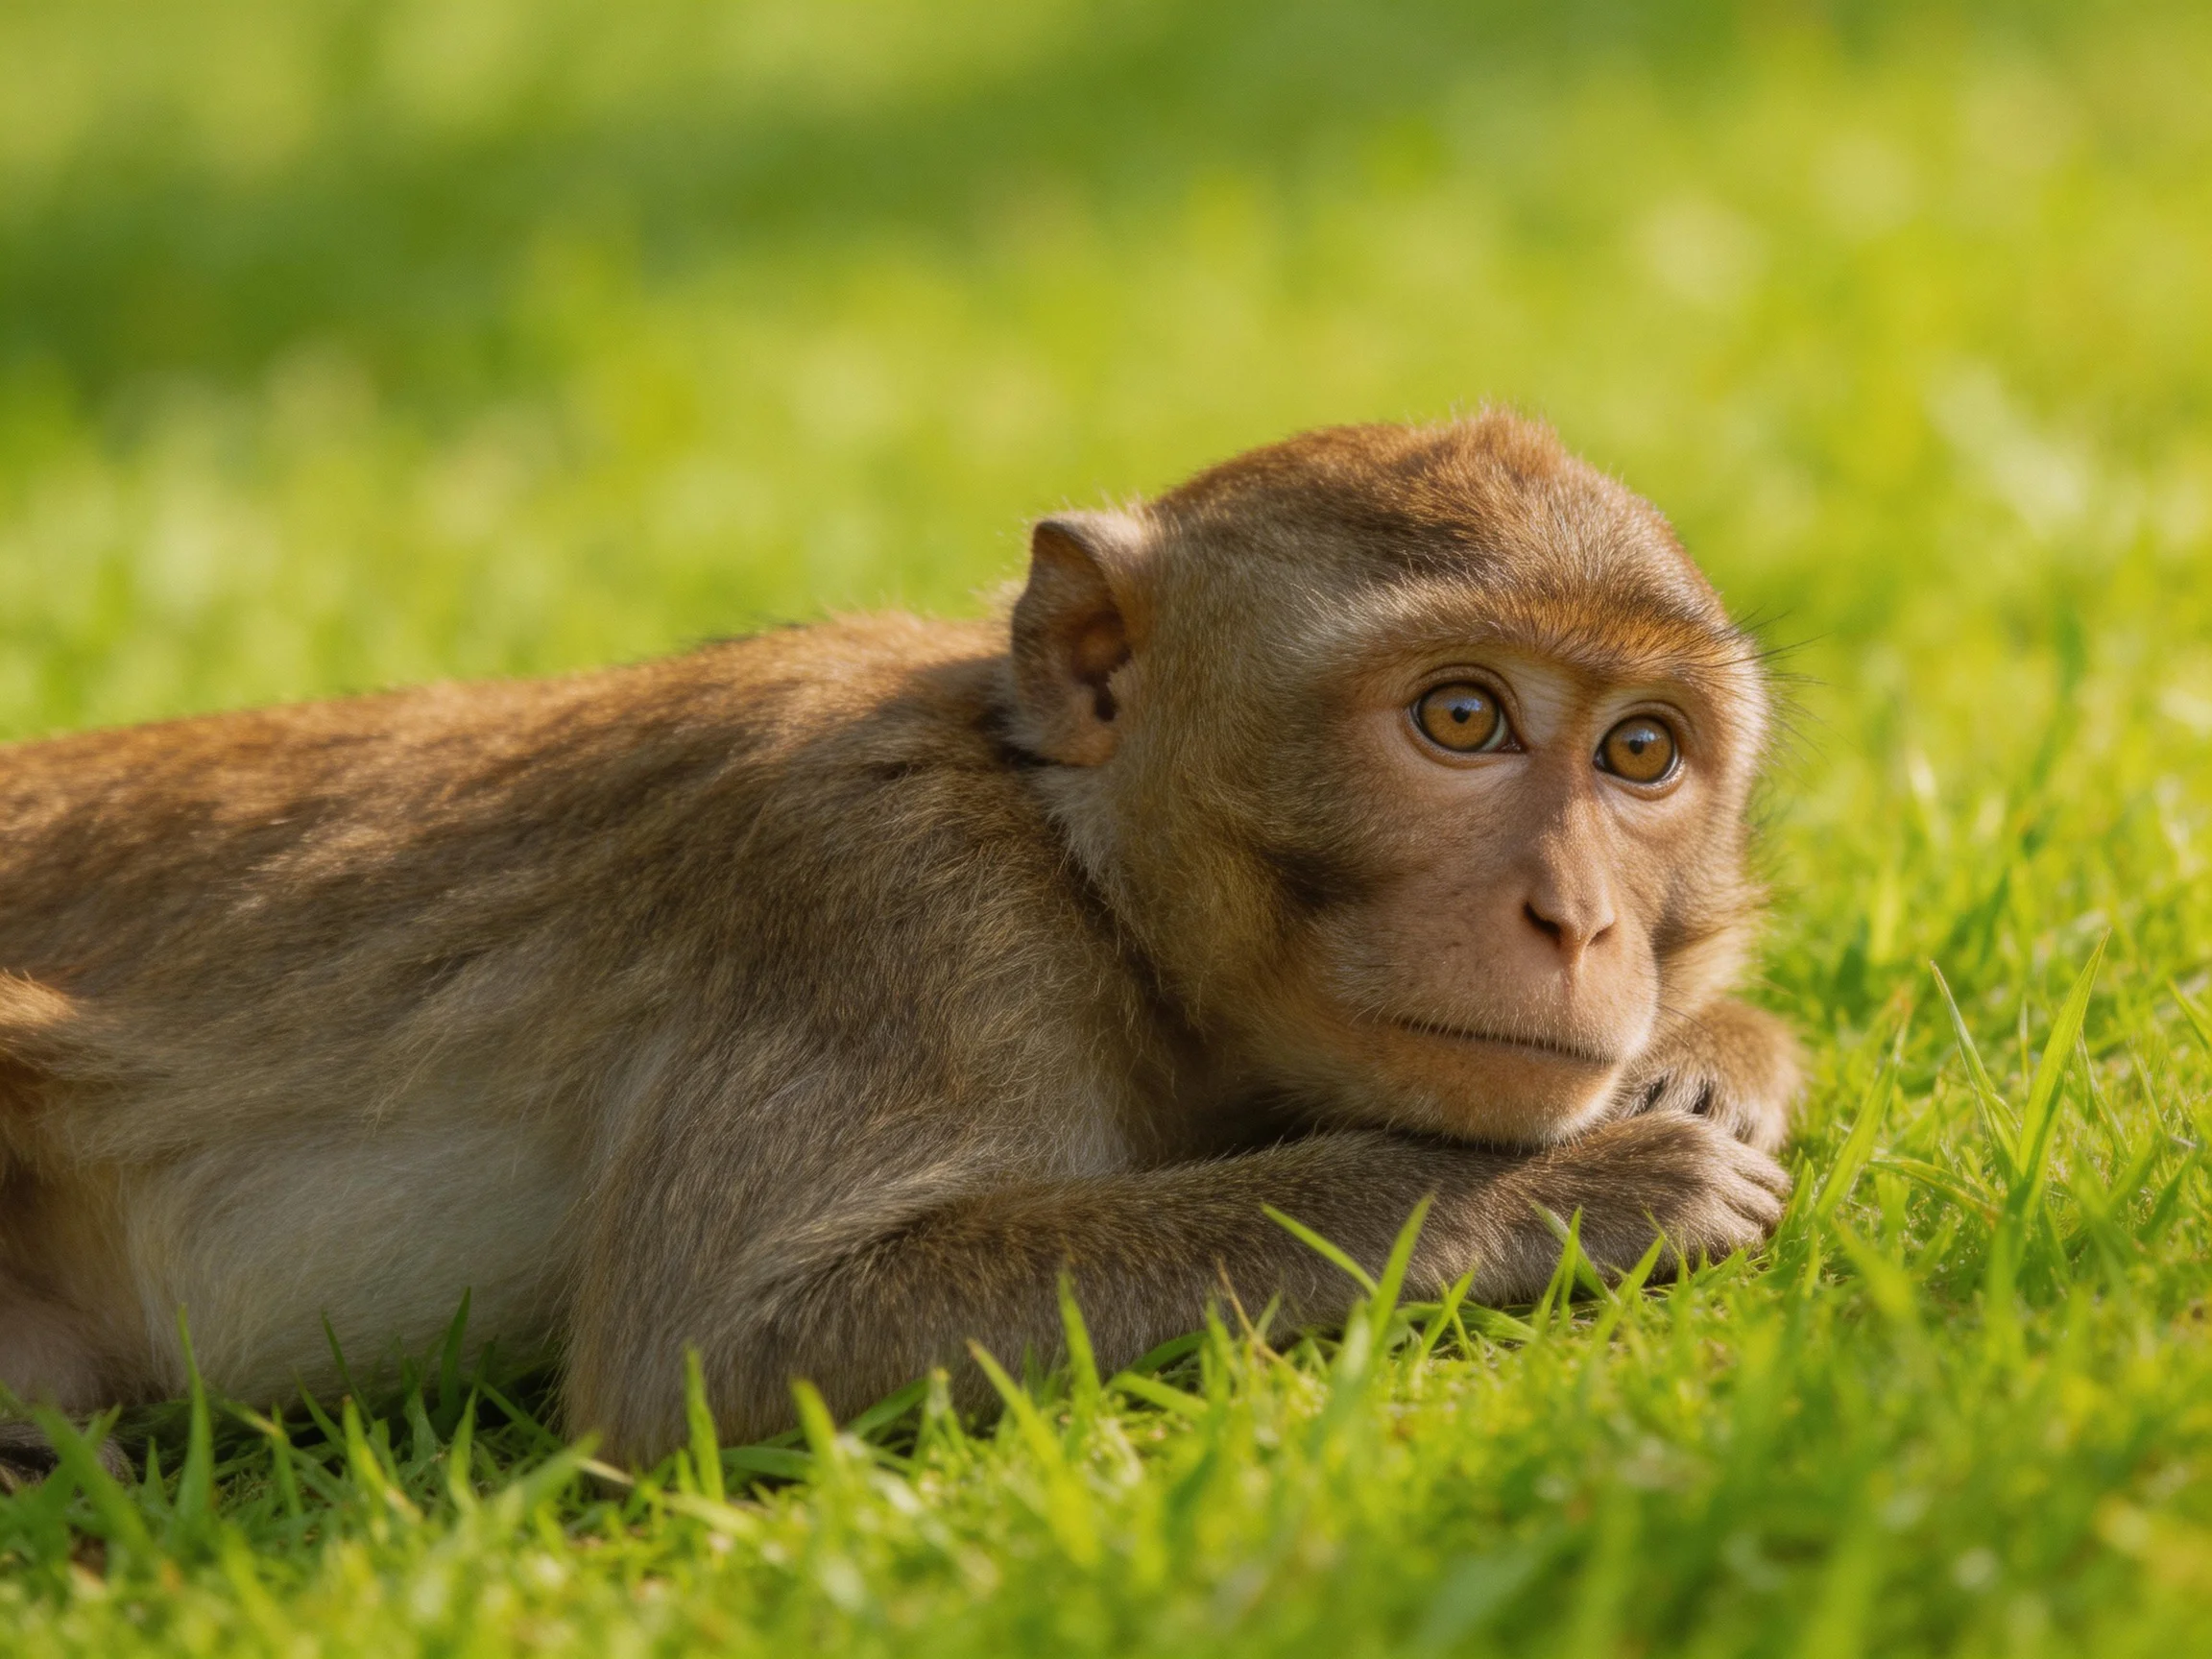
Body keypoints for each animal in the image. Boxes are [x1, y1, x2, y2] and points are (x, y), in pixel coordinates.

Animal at [0, 414, 1799, 1471]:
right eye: (1460, 717)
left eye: (1641, 753)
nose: (1576, 914)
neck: (1073, 861)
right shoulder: (892, 897)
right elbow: (726, 1342)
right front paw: (1564, 1191)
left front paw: (1710, 1055)